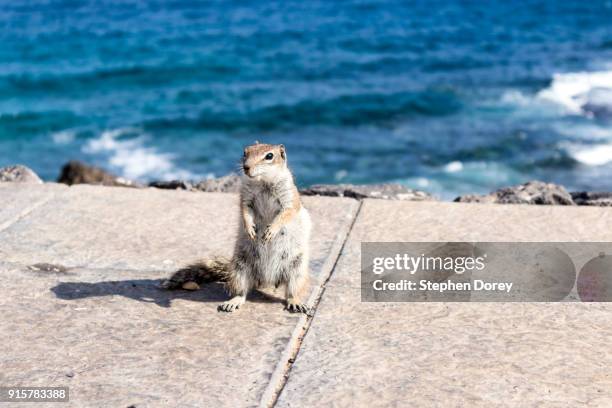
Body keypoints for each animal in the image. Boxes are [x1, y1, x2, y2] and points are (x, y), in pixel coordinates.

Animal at [163, 143, 310, 316]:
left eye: (269, 156)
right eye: (245, 152)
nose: (246, 167)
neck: (263, 181)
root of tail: (267, 281)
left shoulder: (289, 197)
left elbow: (287, 213)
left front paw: (271, 230)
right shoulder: (245, 197)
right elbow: (245, 210)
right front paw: (250, 229)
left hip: (297, 268)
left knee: (292, 290)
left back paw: (295, 302)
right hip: (240, 267)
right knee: (242, 291)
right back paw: (233, 302)